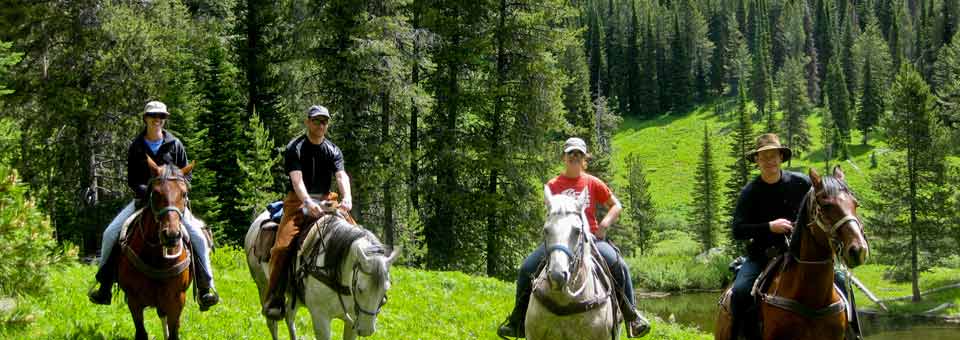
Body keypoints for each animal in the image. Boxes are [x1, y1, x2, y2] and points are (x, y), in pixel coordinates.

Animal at [116, 157, 195, 340]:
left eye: (184, 193)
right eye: (156, 193)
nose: (171, 235)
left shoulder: (176, 300)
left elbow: (174, 333)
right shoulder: (134, 300)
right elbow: (141, 332)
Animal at [248, 205, 402, 340]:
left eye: (385, 289)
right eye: (360, 288)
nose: (366, 329)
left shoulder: (352, 320)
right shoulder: (320, 319)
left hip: (295, 296)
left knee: (289, 318)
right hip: (262, 286)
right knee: (272, 322)